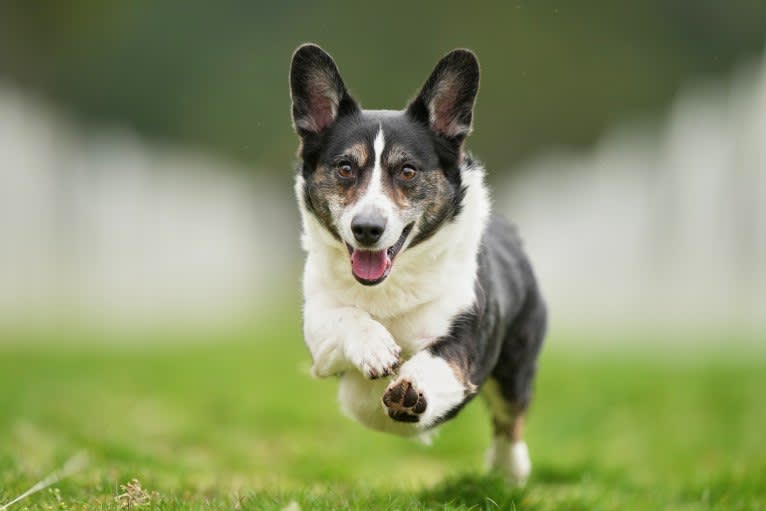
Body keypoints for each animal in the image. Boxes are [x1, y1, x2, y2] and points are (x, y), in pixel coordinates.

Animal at [288, 43, 544, 484]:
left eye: (407, 171)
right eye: (345, 168)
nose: (367, 229)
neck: (388, 288)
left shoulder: (466, 341)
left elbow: (440, 362)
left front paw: (414, 389)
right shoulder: (318, 334)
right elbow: (347, 316)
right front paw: (376, 349)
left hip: (516, 363)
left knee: (509, 418)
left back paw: (509, 470)